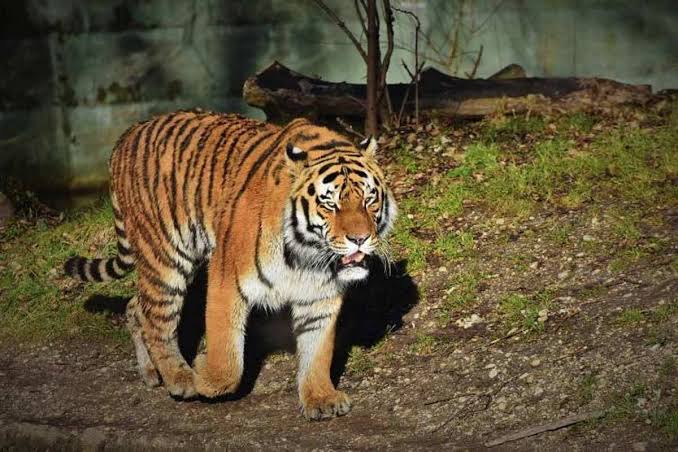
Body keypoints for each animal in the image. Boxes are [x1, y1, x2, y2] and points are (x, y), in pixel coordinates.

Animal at [63, 110, 397, 420]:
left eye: (369, 199)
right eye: (330, 204)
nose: (360, 239)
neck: (307, 254)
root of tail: (127, 134)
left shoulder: (320, 296)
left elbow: (317, 351)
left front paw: (320, 398)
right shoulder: (227, 279)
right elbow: (228, 359)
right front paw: (203, 374)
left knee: (136, 306)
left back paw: (151, 373)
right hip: (166, 258)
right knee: (158, 321)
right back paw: (180, 378)